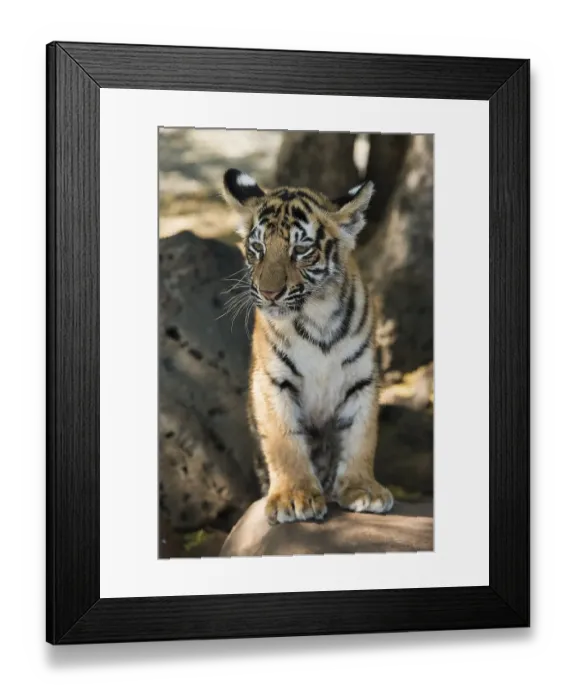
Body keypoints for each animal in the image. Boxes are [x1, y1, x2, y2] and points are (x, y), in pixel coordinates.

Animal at [222, 168, 395, 525]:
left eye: (300, 250)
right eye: (257, 247)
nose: (269, 293)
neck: (318, 315)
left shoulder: (363, 379)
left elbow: (361, 435)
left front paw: (363, 488)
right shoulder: (273, 381)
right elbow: (284, 441)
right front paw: (294, 497)